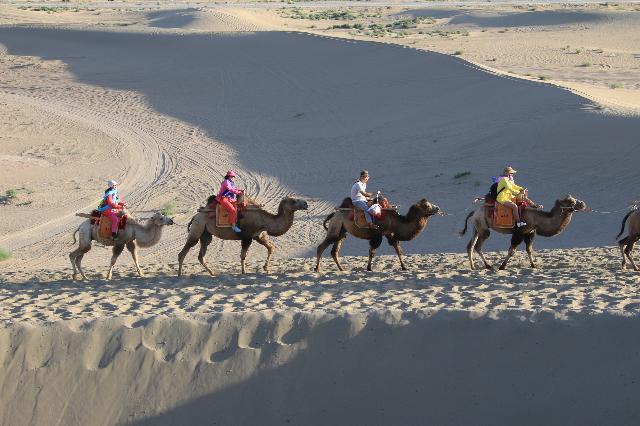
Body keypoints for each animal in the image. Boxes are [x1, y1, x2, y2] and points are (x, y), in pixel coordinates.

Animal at [179, 197, 308, 274]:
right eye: (293, 201)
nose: (306, 203)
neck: (264, 220)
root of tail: (195, 216)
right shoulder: (247, 237)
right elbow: (243, 255)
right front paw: (244, 272)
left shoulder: (258, 236)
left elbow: (271, 248)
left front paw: (266, 268)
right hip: (197, 229)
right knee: (185, 251)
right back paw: (180, 274)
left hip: (205, 234)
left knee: (201, 254)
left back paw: (212, 273)